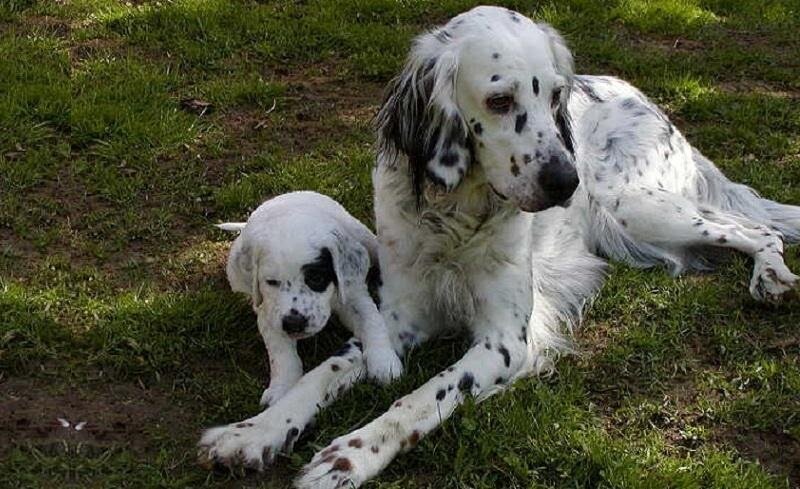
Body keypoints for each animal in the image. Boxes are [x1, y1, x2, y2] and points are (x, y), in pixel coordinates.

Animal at [217, 191, 400, 408]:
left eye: (316, 279)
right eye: (271, 282)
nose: (294, 323)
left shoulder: (353, 293)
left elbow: (372, 320)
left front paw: (384, 362)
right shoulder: (270, 313)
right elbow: (281, 355)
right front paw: (281, 391)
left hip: (364, 236)